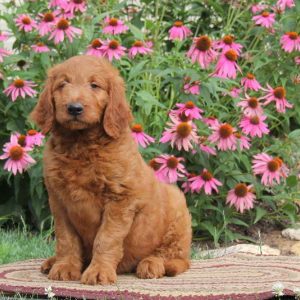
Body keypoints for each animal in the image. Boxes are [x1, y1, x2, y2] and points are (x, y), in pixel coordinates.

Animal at [31, 55, 192, 284]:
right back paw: (52, 261)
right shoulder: (59, 200)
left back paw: (152, 264)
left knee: (177, 257)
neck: (80, 144)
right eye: (63, 84)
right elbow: (66, 239)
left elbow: (106, 239)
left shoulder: (119, 200)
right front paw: (65, 267)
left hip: (177, 213)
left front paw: (98, 271)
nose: (74, 108)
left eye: (94, 85)